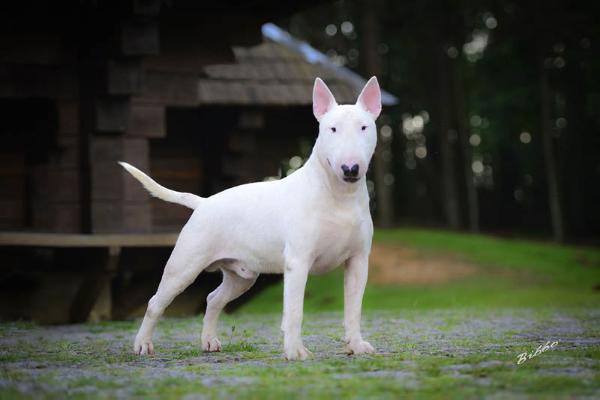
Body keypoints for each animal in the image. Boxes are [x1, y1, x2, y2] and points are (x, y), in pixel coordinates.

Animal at [121, 76, 382, 360]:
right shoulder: (298, 261)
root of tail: (203, 202)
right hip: (183, 267)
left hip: (241, 276)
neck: (339, 196)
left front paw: (356, 345)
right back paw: (142, 344)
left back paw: (209, 341)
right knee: (155, 303)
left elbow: (353, 309)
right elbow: (294, 311)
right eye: (332, 129)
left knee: (213, 299)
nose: (350, 169)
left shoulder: (358, 261)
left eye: (364, 127)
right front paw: (295, 352)